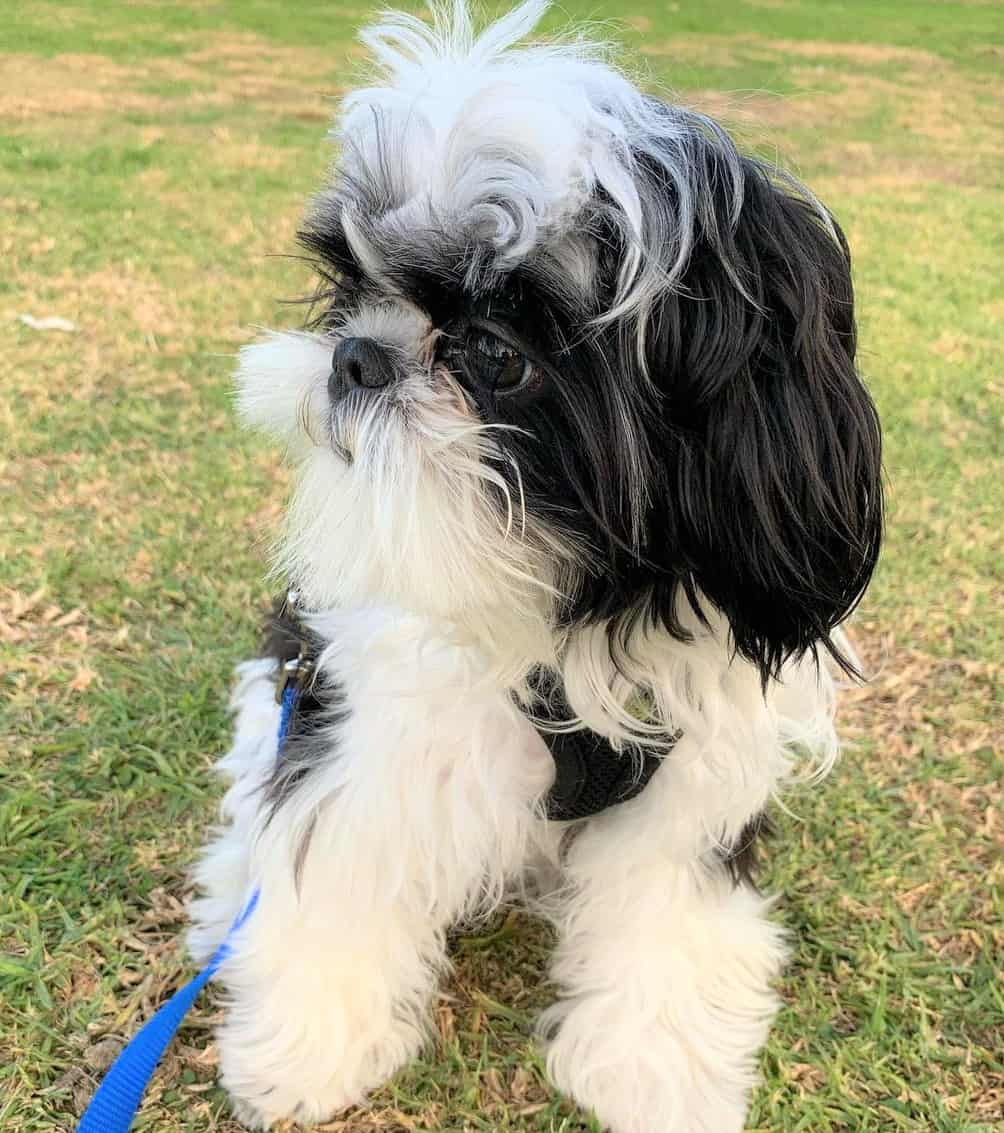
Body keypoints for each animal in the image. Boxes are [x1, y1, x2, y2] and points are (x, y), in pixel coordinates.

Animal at [186, 4, 879, 1128]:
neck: (562, 608)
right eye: (347, 292)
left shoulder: (688, 780)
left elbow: (663, 916)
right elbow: (337, 866)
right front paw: (308, 1044)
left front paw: (657, 1067)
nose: (355, 356)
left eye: (497, 354)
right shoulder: (371, 732)